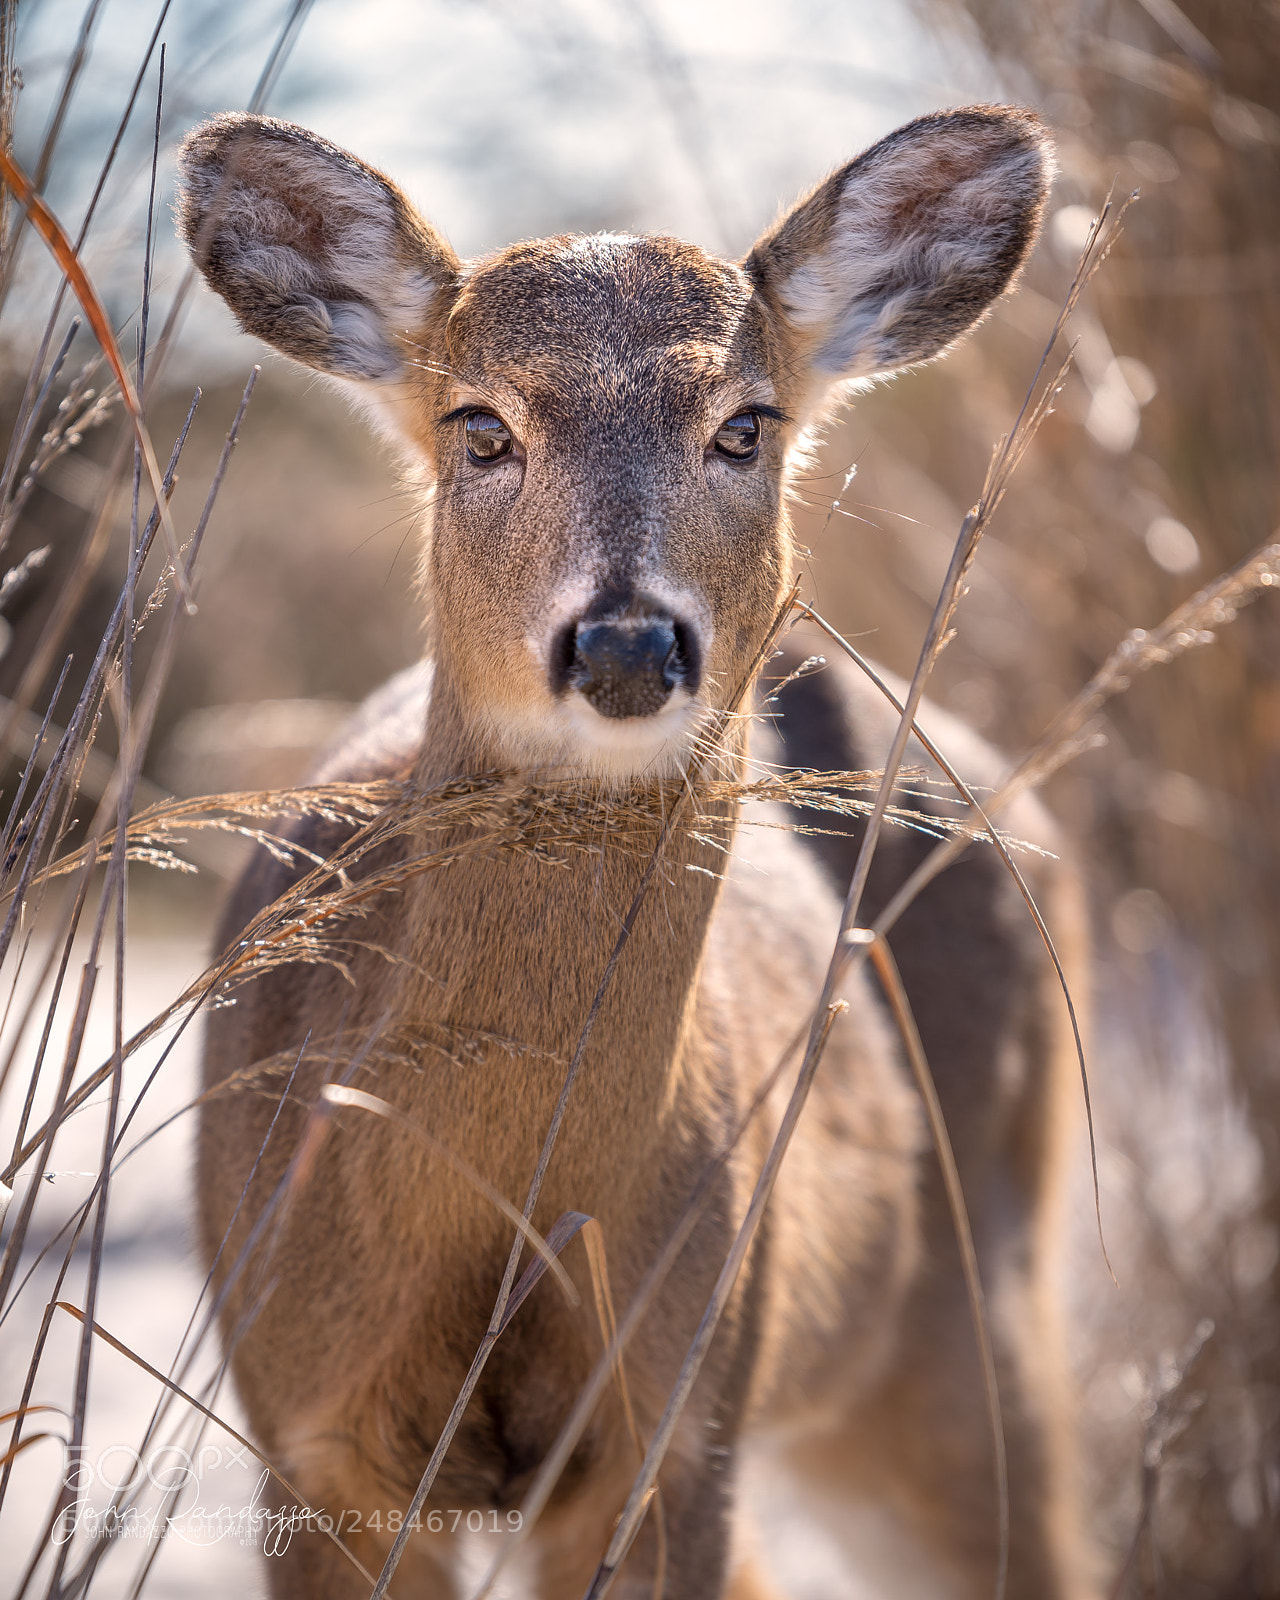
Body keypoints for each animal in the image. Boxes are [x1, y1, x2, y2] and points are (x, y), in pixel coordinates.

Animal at [177, 104, 1094, 1600]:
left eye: (745, 425)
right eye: (479, 424)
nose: (622, 643)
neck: (488, 1224)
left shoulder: (672, 1425)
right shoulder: (307, 1434)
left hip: (961, 1318)